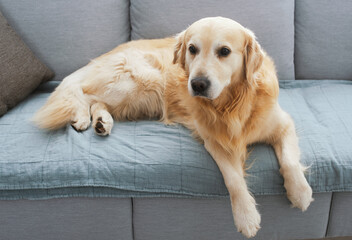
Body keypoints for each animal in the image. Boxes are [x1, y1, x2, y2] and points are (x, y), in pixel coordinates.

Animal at [33, 17, 314, 238]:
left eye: (224, 51)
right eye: (192, 49)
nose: (198, 84)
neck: (231, 104)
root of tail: (102, 57)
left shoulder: (282, 124)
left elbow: (290, 161)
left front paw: (300, 192)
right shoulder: (215, 141)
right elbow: (233, 180)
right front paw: (246, 216)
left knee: (97, 101)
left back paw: (102, 122)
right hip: (142, 82)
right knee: (84, 92)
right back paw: (81, 117)